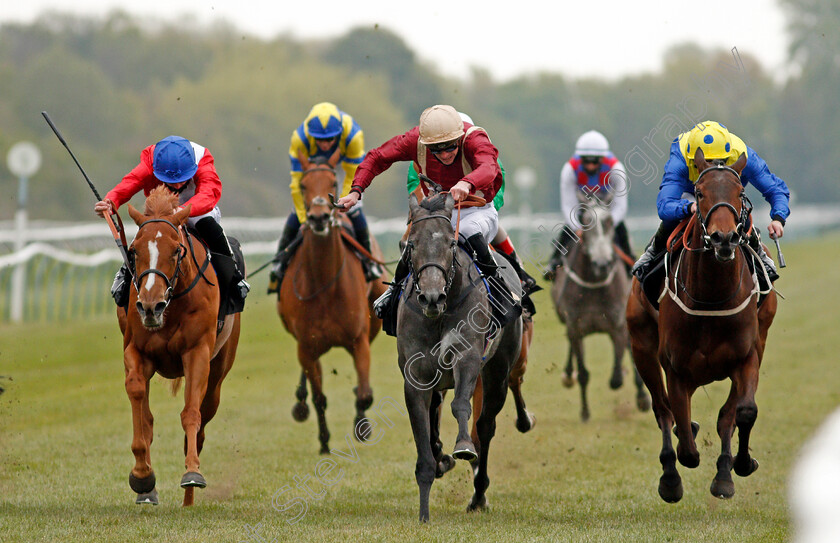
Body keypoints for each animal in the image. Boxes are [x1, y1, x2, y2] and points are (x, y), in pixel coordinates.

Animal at [116, 186, 240, 506]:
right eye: (134, 251)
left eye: (176, 250)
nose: (150, 306)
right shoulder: (136, 350)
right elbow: (139, 402)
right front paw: (143, 476)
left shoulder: (197, 352)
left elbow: (190, 413)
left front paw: (192, 473)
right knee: (147, 415)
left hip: (219, 372)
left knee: (203, 419)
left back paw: (189, 497)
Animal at [280, 156, 388, 454]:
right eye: (304, 185)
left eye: (332, 182)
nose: (318, 218)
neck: (325, 282)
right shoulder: (306, 347)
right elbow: (319, 397)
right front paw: (324, 441)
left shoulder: (359, 340)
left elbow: (364, 394)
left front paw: (362, 428)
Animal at [398, 191, 520, 524]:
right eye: (410, 244)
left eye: (451, 244)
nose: (431, 297)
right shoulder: (416, 377)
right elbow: (423, 432)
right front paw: (424, 513)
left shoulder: (467, 358)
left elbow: (461, 406)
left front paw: (463, 447)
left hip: (497, 373)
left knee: (486, 426)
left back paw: (478, 495)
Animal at [552, 191, 648, 420]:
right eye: (585, 221)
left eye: (609, 221)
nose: (602, 263)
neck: (594, 284)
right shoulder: (575, 327)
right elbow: (583, 373)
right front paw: (585, 412)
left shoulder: (618, 326)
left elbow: (616, 378)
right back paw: (568, 374)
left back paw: (642, 397)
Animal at [628, 150, 776, 506]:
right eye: (699, 193)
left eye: (740, 193)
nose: (724, 238)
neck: (712, 296)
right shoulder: (676, 369)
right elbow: (683, 435)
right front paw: (679, 465)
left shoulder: (747, 358)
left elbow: (740, 413)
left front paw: (737, 466)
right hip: (642, 348)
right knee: (663, 410)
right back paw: (670, 477)